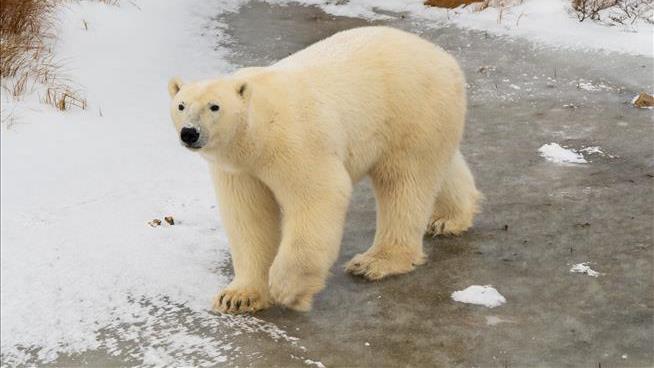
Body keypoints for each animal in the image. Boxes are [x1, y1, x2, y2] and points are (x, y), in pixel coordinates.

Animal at [169, 25, 482, 314]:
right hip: (429, 119)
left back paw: (373, 261)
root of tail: (445, 58)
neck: (257, 132)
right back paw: (448, 218)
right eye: (181, 105)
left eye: (214, 106)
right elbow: (248, 216)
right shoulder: (238, 169)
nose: (190, 133)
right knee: (438, 167)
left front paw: (288, 289)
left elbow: (319, 195)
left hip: (409, 109)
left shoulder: (293, 142)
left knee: (404, 183)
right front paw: (238, 296)